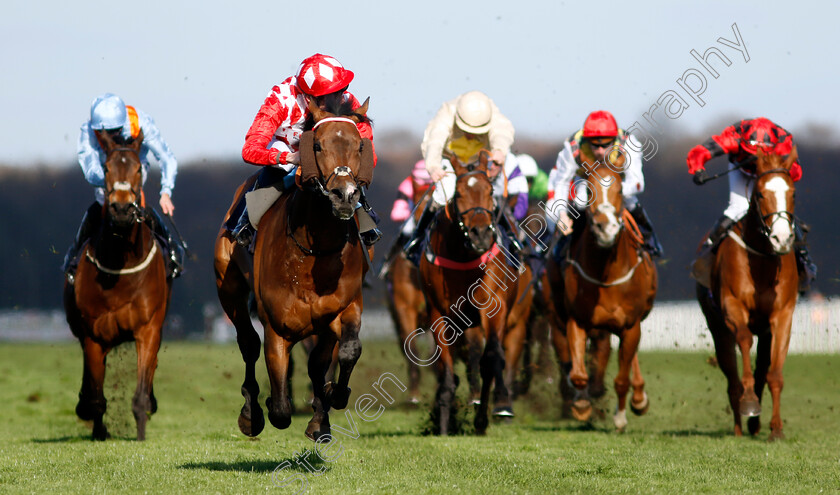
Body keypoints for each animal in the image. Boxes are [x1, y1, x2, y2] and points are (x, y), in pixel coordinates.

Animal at [64, 129, 174, 442]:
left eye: (138, 168)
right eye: (105, 168)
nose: (123, 209)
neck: (120, 269)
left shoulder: (148, 329)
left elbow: (141, 391)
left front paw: (141, 431)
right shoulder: (93, 335)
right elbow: (96, 395)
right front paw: (98, 430)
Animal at [217, 99, 374, 440]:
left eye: (359, 145)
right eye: (316, 145)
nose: (345, 195)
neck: (314, 253)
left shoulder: (343, 307)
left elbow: (347, 351)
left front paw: (331, 400)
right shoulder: (276, 324)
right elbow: (279, 407)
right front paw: (268, 407)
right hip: (229, 288)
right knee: (248, 343)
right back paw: (251, 413)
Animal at [420, 150, 532, 434]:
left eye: (490, 190)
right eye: (458, 193)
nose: (480, 234)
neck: (464, 256)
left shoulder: (494, 307)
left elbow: (491, 358)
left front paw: (489, 411)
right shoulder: (439, 313)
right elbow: (447, 369)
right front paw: (443, 419)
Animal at [548, 149, 660, 432]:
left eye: (620, 188)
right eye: (589, 189)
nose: (605, 227)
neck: (606, 275)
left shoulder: (630, 324)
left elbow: (622, 378)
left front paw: (620, 418)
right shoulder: (577, 320)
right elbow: (578, 374)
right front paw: (581, 405)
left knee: (630, 358)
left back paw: (639, 398)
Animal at [696, 145, 800, 440]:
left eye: (793, 193)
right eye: (761, 193)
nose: (781, 239)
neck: (762, 260)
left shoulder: (782, 314)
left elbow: (774, 374)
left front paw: (776, 429)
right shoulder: (732, 306)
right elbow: (743, 341)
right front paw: (749, 402)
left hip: (764, 331)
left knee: (763, 368)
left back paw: (755, 426)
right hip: (717, 327)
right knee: (731, 375)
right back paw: (739, 427)